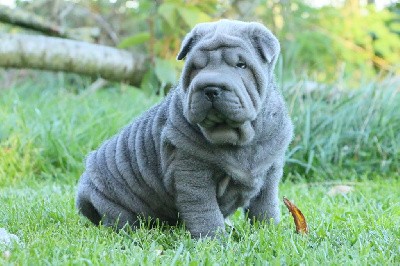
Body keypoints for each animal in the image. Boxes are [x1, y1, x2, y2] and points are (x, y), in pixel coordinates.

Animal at [76, 19, 294, 238]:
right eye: (196, 67)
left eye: (241, 65)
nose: (210, 88)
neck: (240, 139)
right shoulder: (191, 173)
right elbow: (204, 210)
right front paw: (212, 240)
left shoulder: (271, 169)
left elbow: (265, 206)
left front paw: (269, 232)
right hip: (107, 199)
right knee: (119, 219)